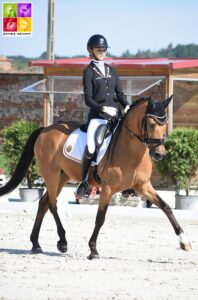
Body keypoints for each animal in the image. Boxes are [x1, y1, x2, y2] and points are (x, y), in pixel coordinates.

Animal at [0, 95, 192, 258]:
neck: (131, 150)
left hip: (62, 177)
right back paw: (62, 242)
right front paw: (93, 249)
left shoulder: (143, 186)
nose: (159, 154)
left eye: (164, 124)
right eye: (151, 125)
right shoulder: (107, 188)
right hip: (52, 175)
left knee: (44, 203)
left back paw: (36, 244)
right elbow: (100, 218)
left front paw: (184, 241)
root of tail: (45, 129)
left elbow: (166, 207)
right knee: (52, 204)